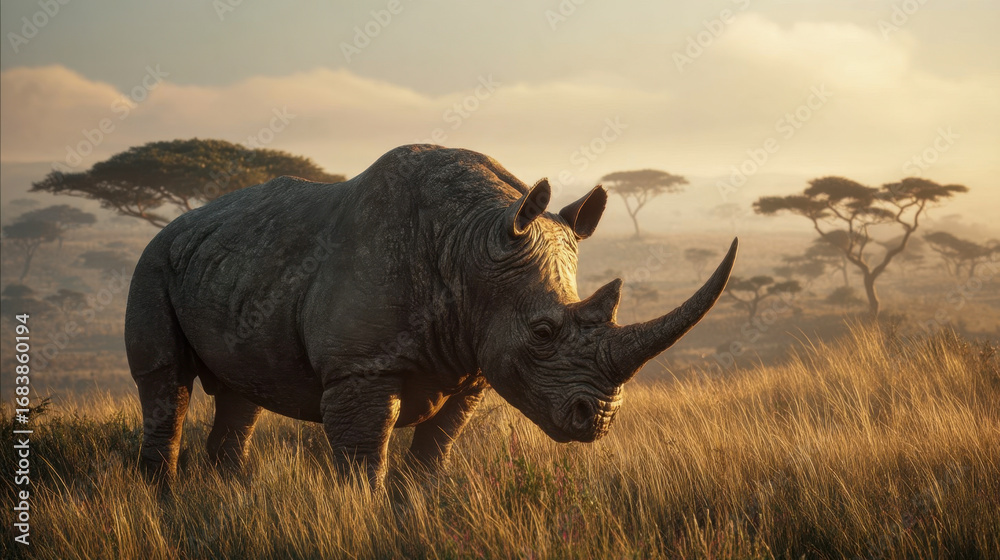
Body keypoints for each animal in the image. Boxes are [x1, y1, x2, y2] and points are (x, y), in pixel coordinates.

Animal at [125, 145, 737, 489]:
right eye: (542, 333)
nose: (599, 420)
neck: (472, 242)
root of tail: (175, 224)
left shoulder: (473, 366)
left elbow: (433, 456)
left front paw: (414, 511)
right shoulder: (359, 369)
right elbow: (364, 461)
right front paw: (360, 518)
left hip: (231, 265)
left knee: (241, 394)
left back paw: (228, 495)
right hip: (152, 263)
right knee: (166, 384)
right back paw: (163, 500)